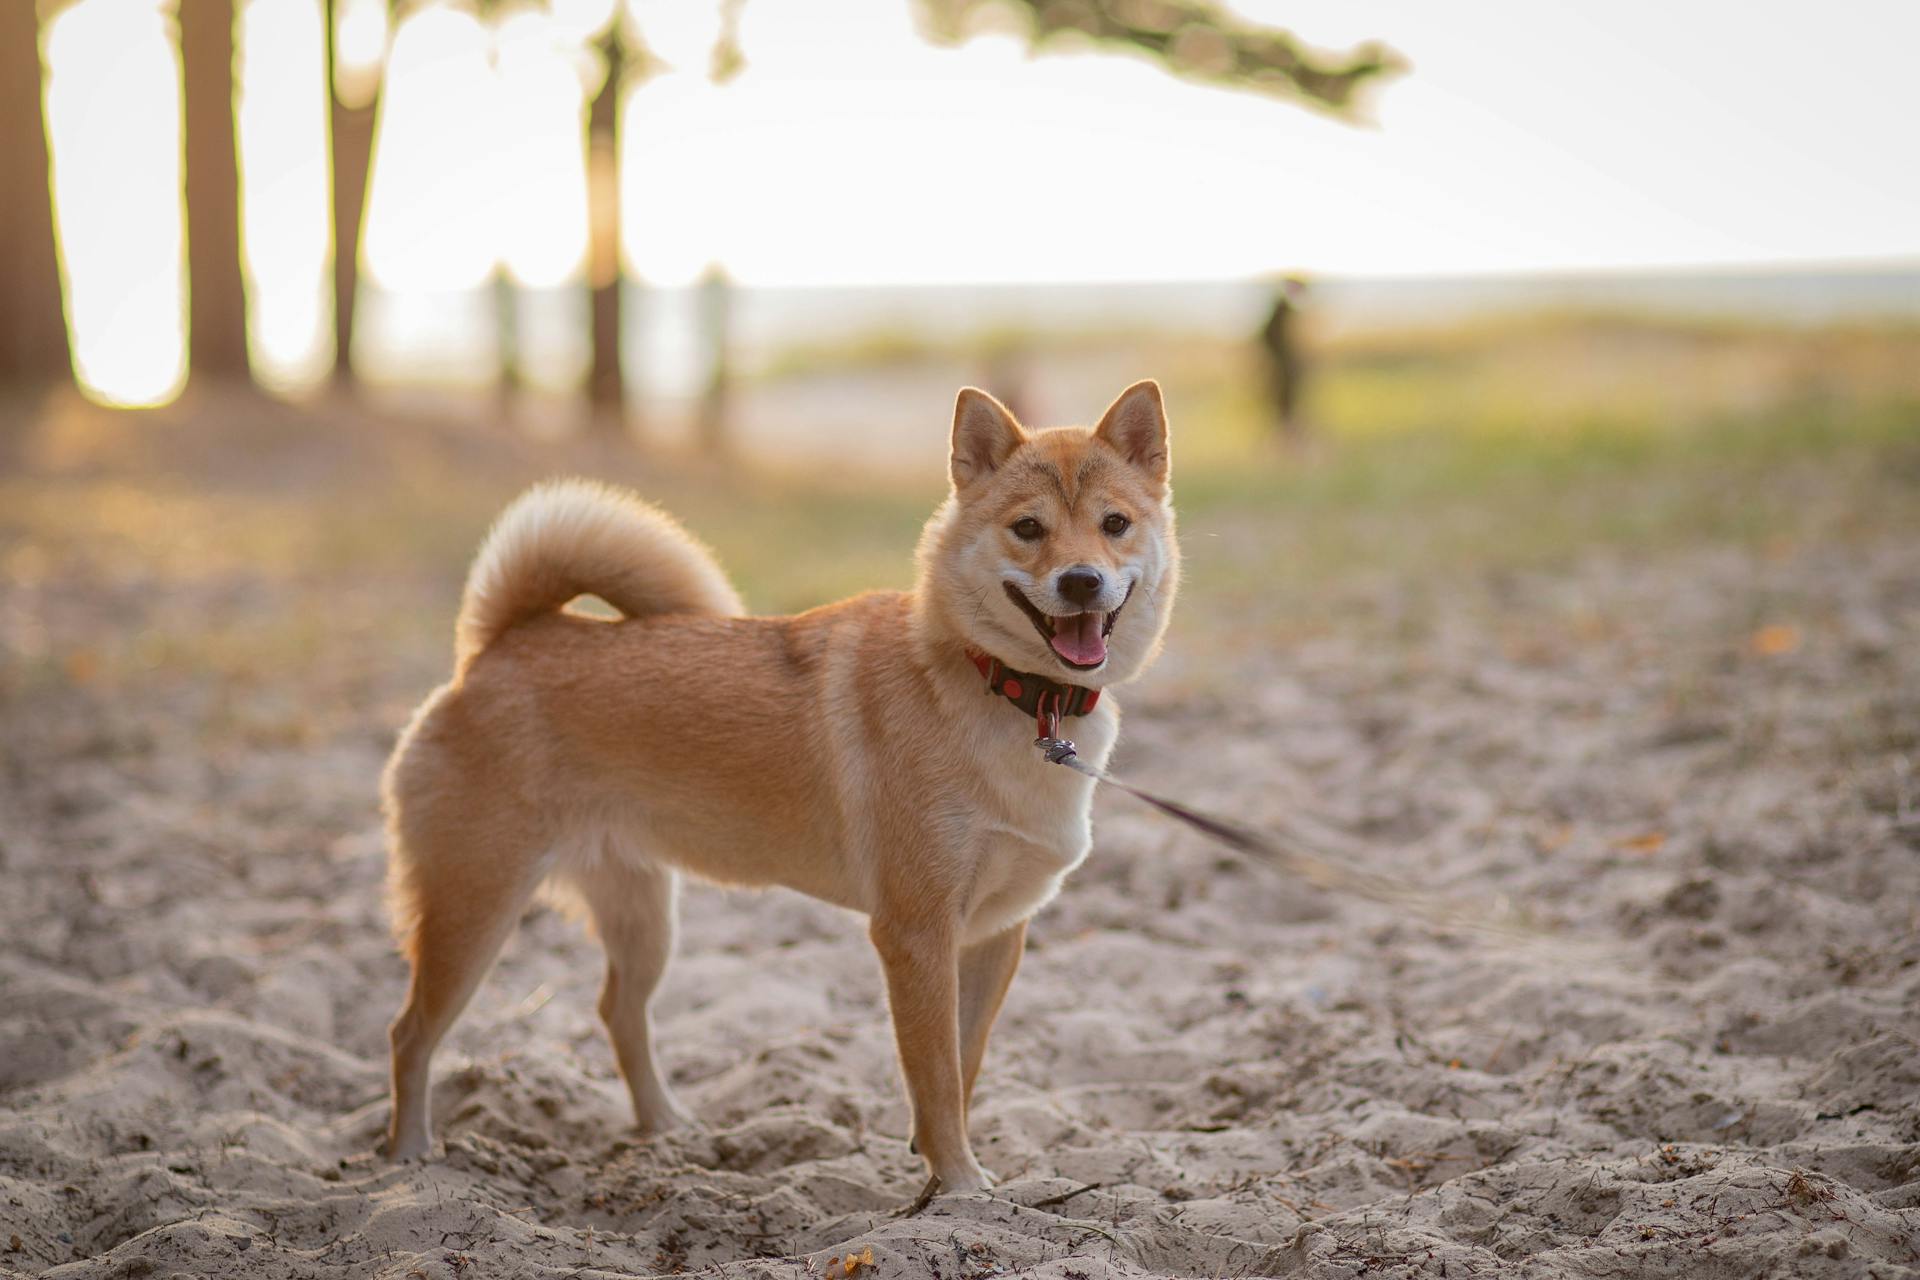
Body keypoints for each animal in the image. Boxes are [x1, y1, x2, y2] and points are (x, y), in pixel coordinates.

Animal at [380, 378, 1175, 1189]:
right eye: (1027, 528)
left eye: (1114, 524)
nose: (1081, 581)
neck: (1013, 693)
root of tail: (501, 646)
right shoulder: (916, 934)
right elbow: (937, 1074)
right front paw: (958, 1185)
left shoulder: (993, 934)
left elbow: (964, 1065)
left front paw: (939, 1176)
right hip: (474, 909)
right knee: (410, 1033)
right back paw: (409, 1160)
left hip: (642, 918)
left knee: (618, 1014)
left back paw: (665, 1130)